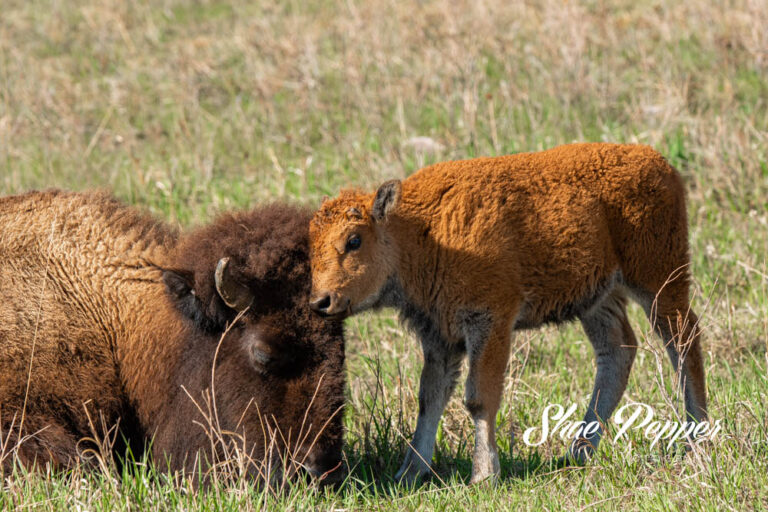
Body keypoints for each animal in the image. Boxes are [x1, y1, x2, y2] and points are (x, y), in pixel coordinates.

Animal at [310, 143, 708, 484]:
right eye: (311, 249)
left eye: (354, 240)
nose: (320, 302)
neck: (418, 230)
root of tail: (658, 162)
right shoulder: (439, 336)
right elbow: (430, 398)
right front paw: (409, 473)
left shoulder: (490, 322)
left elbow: (478, 397)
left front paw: (484, 475)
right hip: (599, 299)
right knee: (617, 353)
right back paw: (578, 452)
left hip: (658, 280)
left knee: (684, 342)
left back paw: (696, 441)